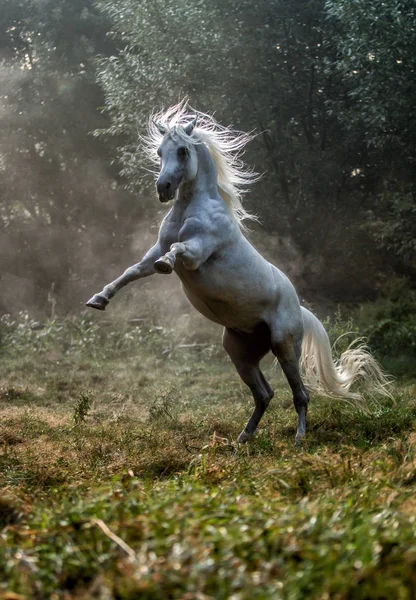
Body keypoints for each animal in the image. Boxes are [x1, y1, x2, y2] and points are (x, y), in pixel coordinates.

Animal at [87, 102, 390, 440]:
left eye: (182, 151)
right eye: (159, 152)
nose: (163, 188)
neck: (192, 208)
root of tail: (299, 308)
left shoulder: (197, 253)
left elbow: (176, 251)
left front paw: (165, 265)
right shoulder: (154, 249)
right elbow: (133, 271)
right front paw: (99, 299)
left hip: (284, 346)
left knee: (300, 394)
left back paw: (299, 437)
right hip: (240, 353)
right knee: (264, 394)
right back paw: (243, 438)